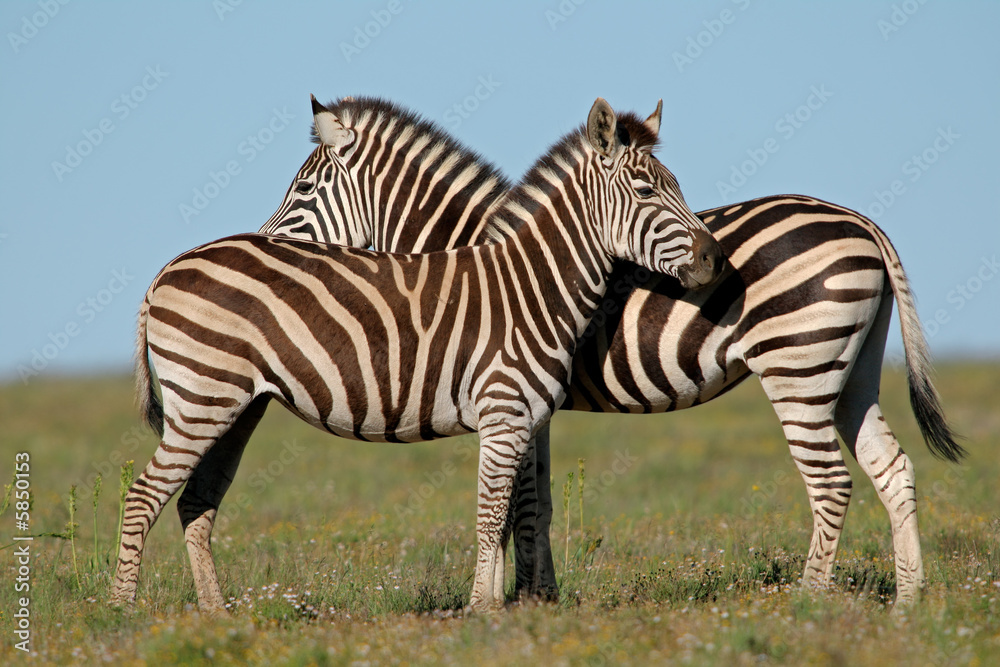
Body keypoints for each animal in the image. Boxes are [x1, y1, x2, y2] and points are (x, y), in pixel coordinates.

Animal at [110, 98, 724, 613]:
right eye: (646, 193)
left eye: (674, 187)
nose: (714, 261)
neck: (531, 282)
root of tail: (169, 267)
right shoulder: (505, 413)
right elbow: (494, 515)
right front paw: (485, 611)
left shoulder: (527, 418)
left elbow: (514, 512)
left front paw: (505, 603)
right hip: (203, 399)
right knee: (143, 495)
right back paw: (121, 612)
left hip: (233, 406)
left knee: (195, 502)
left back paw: (216, 616)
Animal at [259, 96, 963, 606]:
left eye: (300, 192)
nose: (263, 247)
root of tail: (861, 221)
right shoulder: (526, 398)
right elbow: (535, 500)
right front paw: (536, 595)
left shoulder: (513, 390)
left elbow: (520, 502)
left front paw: (519, 598)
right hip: (849, 368)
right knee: (892, 469)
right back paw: (908, 605)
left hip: (798, 363)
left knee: (831, 482)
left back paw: (807, 604)